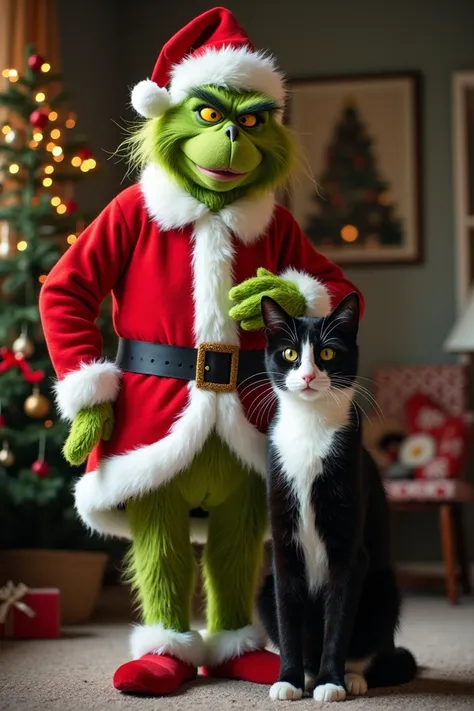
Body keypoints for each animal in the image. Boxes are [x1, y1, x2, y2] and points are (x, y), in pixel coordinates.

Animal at [258, 292, 416, 704]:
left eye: (327, 353)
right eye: (290, 354)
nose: (308, 375)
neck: (310, 429)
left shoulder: (349, 547)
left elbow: (340, 618)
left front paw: (332, 682)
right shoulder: (283, 541)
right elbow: (287, 612)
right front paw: (289, 679)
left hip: (383, 589)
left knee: (370, 641)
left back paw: (350, 676)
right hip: (263, 588)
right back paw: (308, 672)